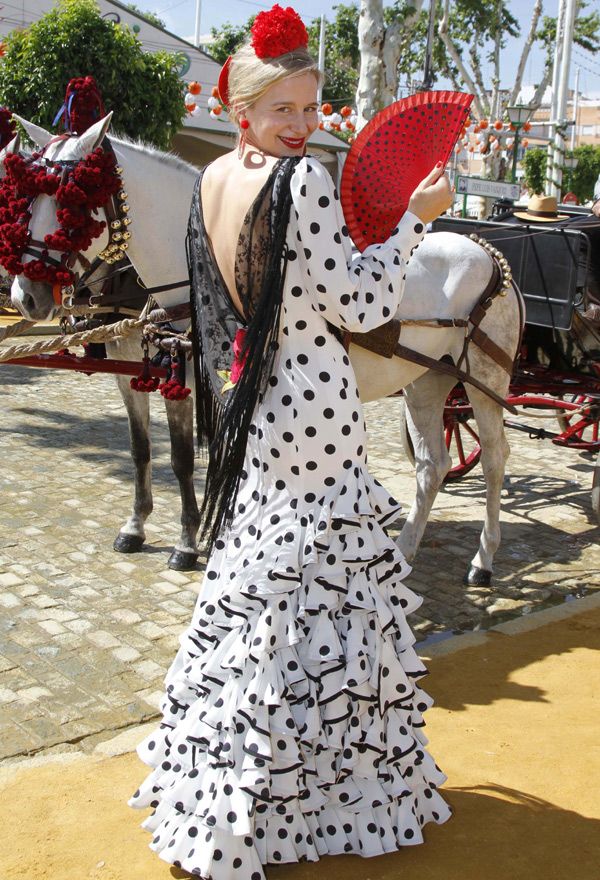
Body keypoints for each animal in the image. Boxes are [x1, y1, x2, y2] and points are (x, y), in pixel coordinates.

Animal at [4, 115, 524, 584]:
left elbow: (182, 460)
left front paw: (188, 544)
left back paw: (483, 560)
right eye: (27, 200)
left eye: (72, 206)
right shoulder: (132, 372)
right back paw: (406, 549)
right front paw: (138, 527)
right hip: (427, 380)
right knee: (432, 465)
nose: (25, 296)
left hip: (484, 380)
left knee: (495, 459)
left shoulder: (188, 383)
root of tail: (484, 249)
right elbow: (141, 450)